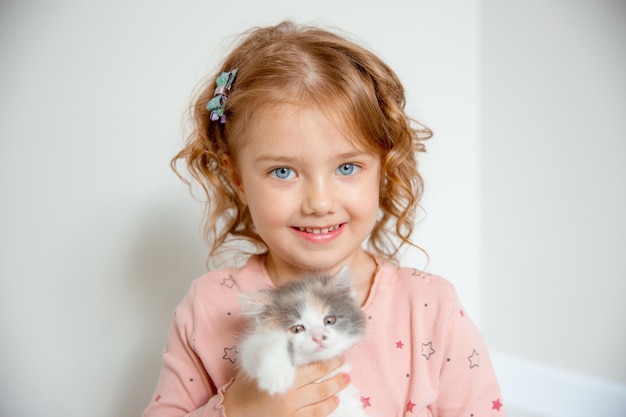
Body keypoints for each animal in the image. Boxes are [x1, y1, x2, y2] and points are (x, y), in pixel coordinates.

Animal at [238, 266, 366, 416]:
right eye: (297, 329)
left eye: (329, 320)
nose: (319, 337)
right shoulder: (250, 352)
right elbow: (262, 344)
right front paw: (276, 374)